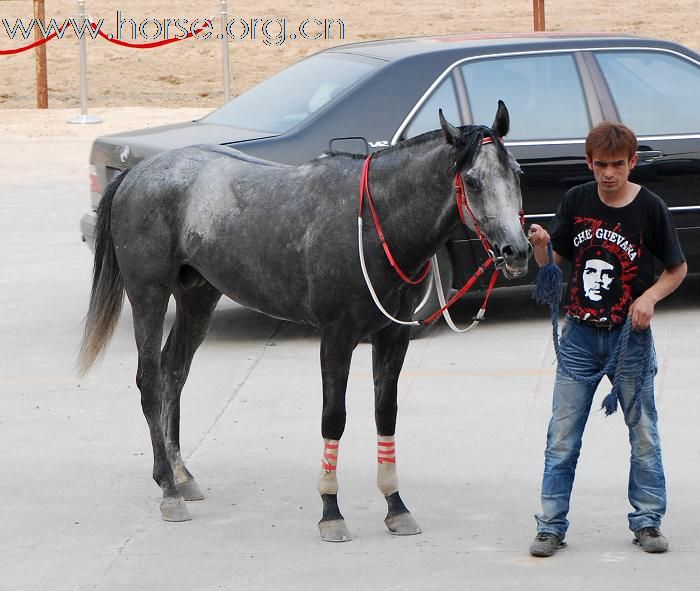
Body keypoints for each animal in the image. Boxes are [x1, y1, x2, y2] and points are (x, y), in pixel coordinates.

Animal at [79, 100, 528, 540]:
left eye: (517, 173)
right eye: (472, 180)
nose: (517, 250)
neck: (374, 222)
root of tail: (137, 174)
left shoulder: (393, 336)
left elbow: (386, 414)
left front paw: (396, 506)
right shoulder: (337, 337)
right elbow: (335, 418)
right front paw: (331, 511)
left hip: (198, 297)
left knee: (174, 371)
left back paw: (181, 475)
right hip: (149, 295)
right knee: (150, 380)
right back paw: (168, 489)